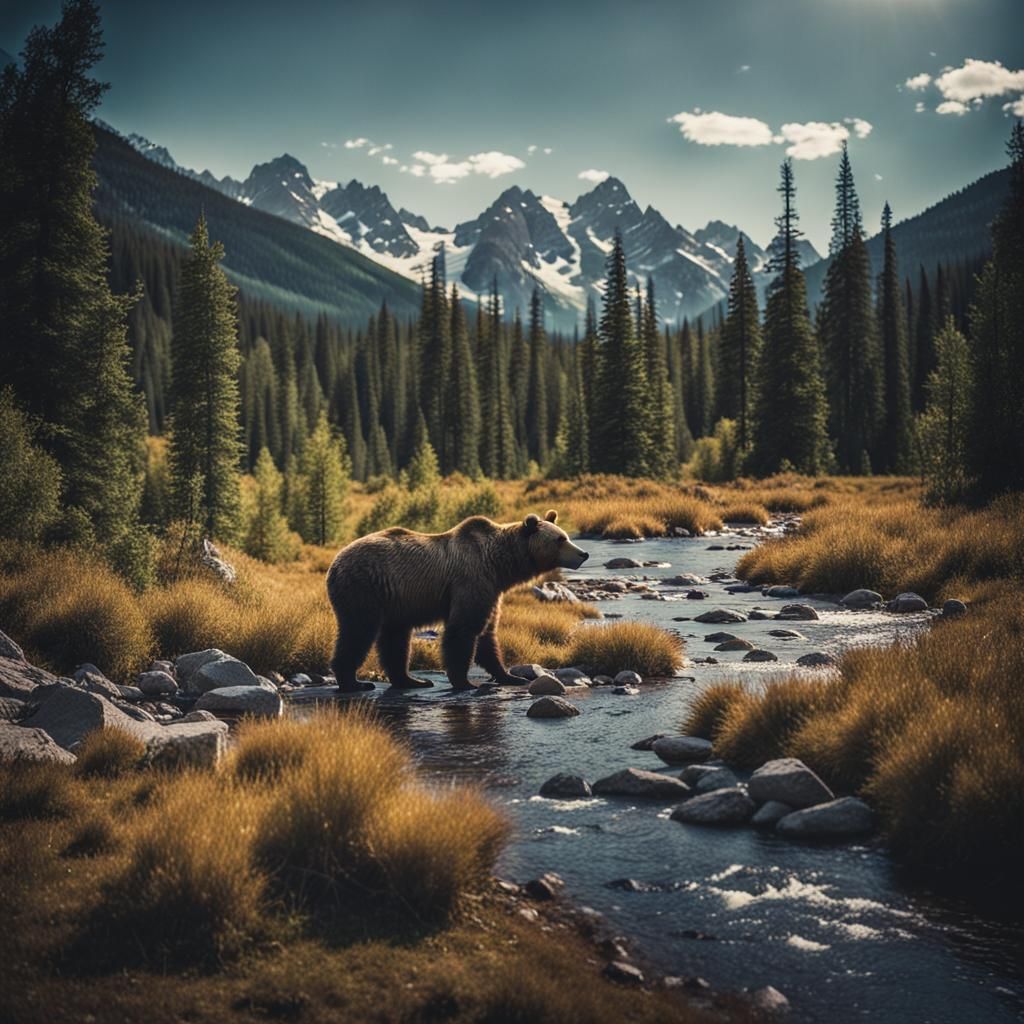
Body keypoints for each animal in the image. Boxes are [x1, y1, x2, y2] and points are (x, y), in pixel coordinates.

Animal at [326, 510, 589, 692]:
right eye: (559, 539)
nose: (583, 553)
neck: (499, 565)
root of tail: (336, 562)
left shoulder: (492, 591)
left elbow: (487, 635)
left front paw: (511, 676)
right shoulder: (471, 580)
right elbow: (463, 629)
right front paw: (465, 682)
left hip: (395, 601)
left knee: (395, 639)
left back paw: (412, 680)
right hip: (364, 588)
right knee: (358, 631)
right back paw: (354, 682)